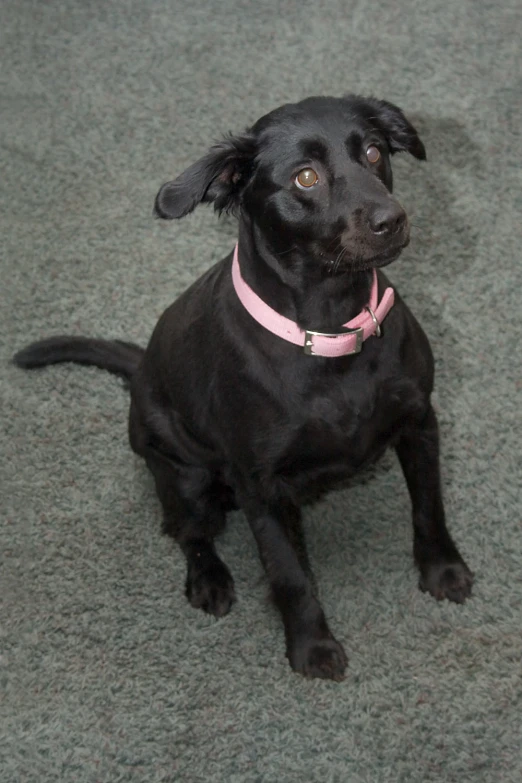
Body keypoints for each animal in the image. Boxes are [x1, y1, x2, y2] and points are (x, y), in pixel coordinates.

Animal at [15, 93, 472, 680]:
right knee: (186, 532)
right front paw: (311, 649)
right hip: (185, 477)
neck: (330, 329)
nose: (391, 220)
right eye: (305, 177)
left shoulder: (420, 424)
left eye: (373, 152)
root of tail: (140, 369)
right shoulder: (261, 487)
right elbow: (289, 575)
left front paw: (443, 571)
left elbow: (429, 509)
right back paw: (209, 580)